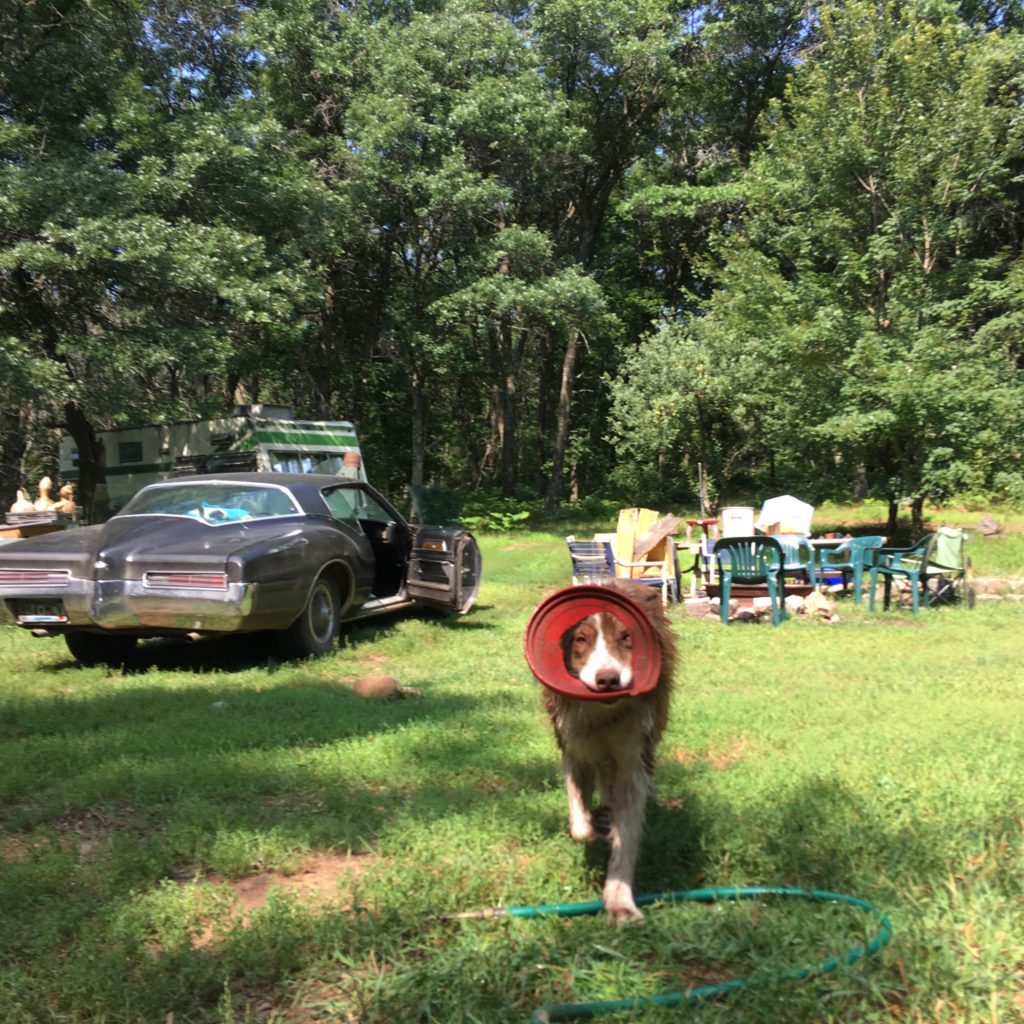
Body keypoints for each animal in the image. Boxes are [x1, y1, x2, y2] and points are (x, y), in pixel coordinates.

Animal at [540, 581, 675, 925]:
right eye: (581, 639)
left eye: (627, 637)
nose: (608, 680)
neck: (603, 714)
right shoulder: (573, 746)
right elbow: (579, 824)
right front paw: (592, 826)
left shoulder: (633, 756)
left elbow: (626, 834)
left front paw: (620, 901)